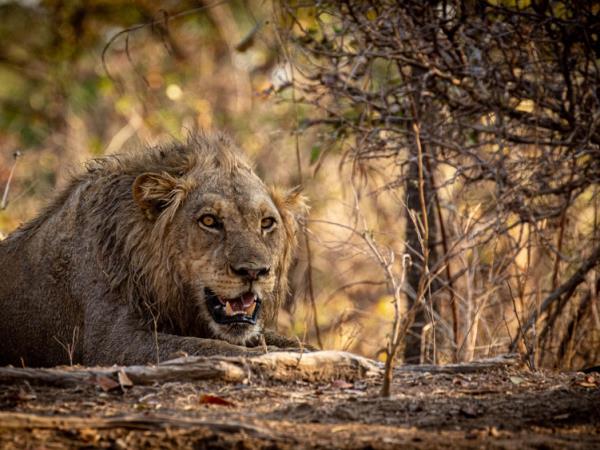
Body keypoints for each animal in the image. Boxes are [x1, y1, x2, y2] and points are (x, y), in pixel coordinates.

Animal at [0, 132, 310, 368]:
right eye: (209, 221)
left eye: (266, 223)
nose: (254, 271)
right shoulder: (110, 342)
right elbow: (210, 347)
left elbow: (285, 339)